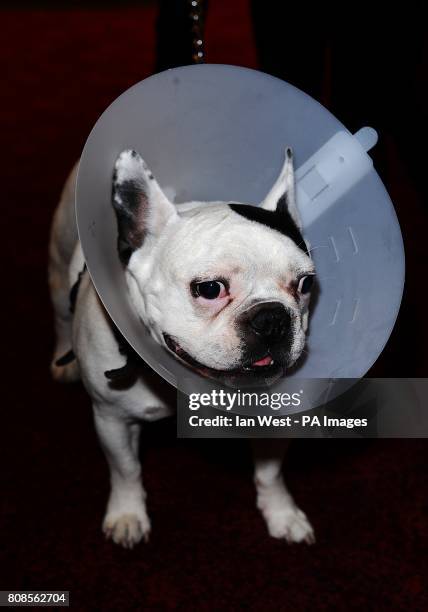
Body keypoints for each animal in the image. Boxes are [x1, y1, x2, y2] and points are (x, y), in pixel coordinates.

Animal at [50, 148, 316, 548]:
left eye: (305, 284)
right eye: (209, 289)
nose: (272, 318)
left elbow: (270, 472)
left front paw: (282, 514)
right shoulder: (111, 417)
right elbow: (126, 469)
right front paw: (128, 514)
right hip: (59, 254)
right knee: (60, 312)